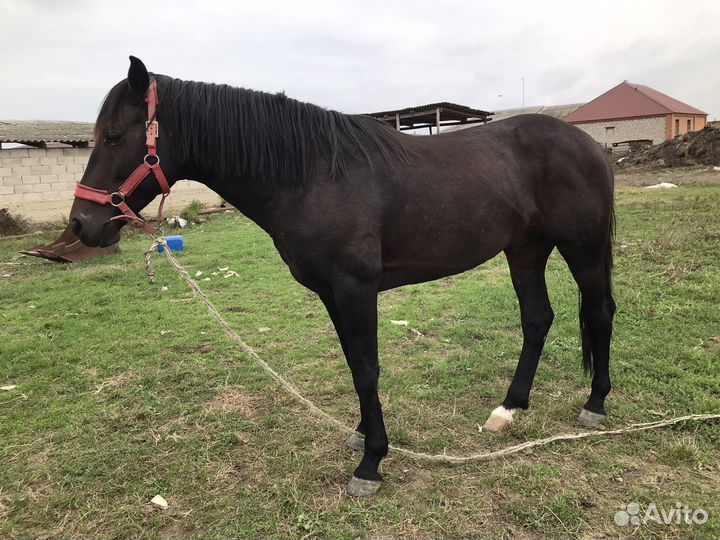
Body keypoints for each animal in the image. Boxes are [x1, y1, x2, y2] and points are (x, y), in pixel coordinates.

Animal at [69, 56, 616, 497]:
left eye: (114, 136)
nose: (81, 225)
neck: (311, 174)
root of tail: (587, 143)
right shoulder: (332, 294)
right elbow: (355, 367)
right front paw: (361, 435)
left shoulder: (356, 290)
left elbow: (368, 369)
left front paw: (371, 463)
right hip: (525, 249)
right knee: (537, 319)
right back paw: (510, 407)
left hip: (582, 247)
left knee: (599, 312)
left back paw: (595, 404)